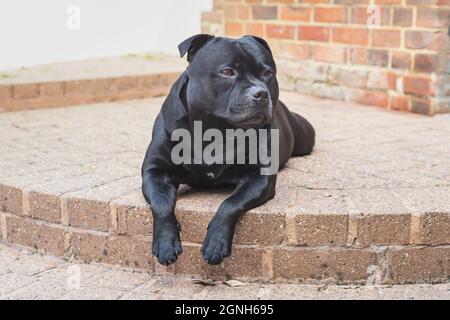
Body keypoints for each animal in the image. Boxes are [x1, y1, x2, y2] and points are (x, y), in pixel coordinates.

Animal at [142, 33, 314, 266]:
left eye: (267, 73)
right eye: (227, 72)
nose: (261, 93)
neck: (216, 130)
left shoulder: (259, 177)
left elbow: (230, 203)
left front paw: (216, 243)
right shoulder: (155, 171)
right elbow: (161, 204)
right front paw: (165, 243)